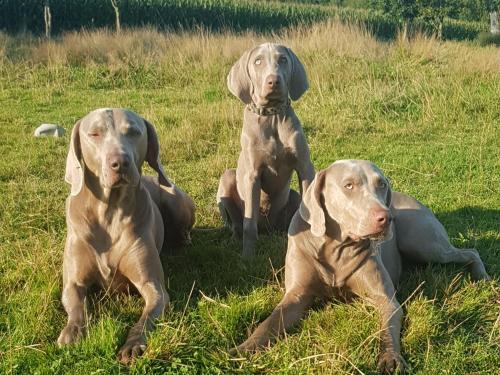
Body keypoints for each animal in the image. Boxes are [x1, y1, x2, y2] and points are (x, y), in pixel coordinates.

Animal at [56, 108, 193, 364]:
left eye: (134, 132)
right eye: (94, 134)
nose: (120, 163)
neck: (109, 211)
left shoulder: (154, 287)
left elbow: (146, 317)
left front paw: (133, 344)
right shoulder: (73, 283)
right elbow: (77, 306)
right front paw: (72, 332)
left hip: (174, 198)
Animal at [217, 41, 314, 258]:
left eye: (283, 59)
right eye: (258, 61)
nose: (274, 81)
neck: (272, 116)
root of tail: (268, 228)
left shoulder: (305, 167)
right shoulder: (252, 175)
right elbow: (249, 224)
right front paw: (248, 257)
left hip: (292, 196)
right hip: (227, 178)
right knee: (237, 224)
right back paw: (235, 239)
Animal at [233, 160, 488, 374]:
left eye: (381, 184)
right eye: (349, 185)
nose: (386, 218)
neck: (336, 248)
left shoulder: (386, 300)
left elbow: (387, 330)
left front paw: (390, 358)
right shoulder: (296, 296)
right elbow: (268, 323)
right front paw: (242, 350)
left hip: (424, 243)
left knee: (470, 252)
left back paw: (482, 278)